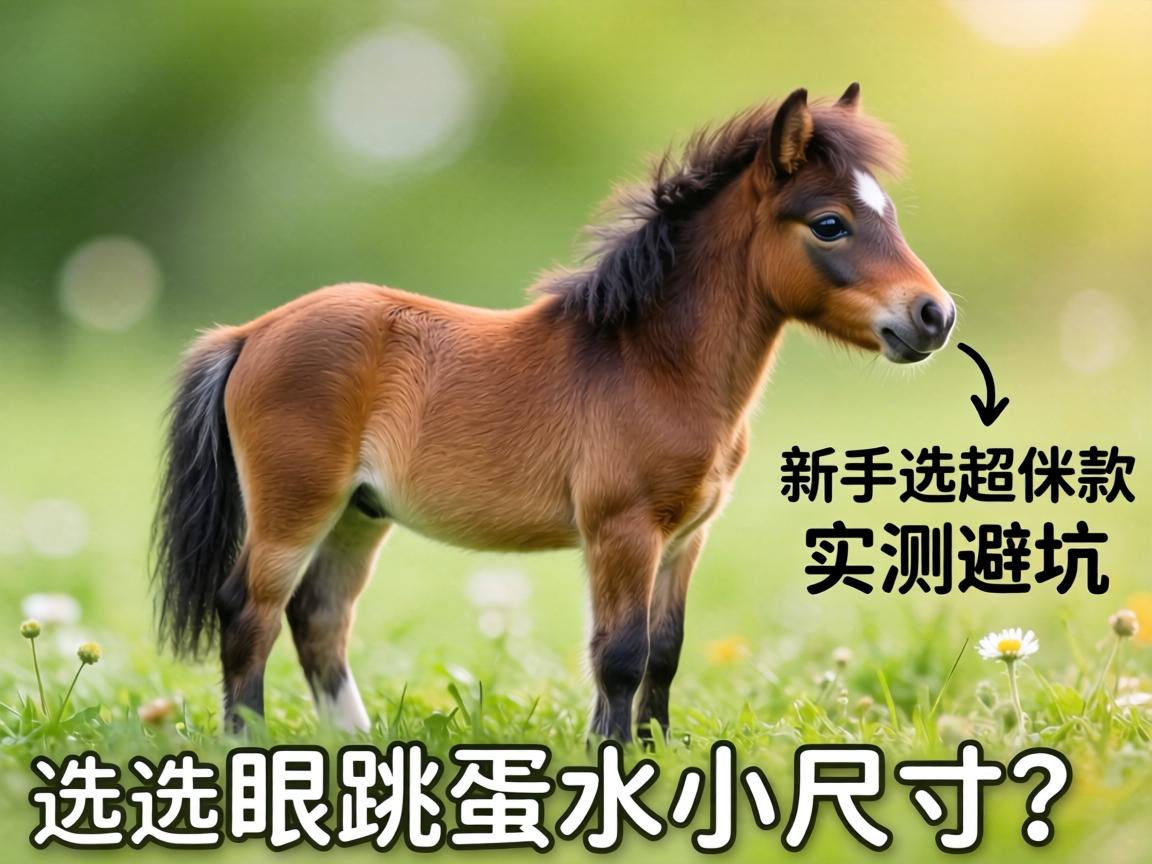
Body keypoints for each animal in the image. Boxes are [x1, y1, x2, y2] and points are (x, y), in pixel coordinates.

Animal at [154, 84, 955, 741]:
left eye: (887, 213)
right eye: (830, 224)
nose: (935, 316)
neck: (652, 364)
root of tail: (251, 333)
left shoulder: (686, 538)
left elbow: (664, 652)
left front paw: (653, 750)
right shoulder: (622, 530)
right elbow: (621, 653)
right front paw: (615, 755)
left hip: (358, 514)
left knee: (318, 619)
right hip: (296, 507)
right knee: (248, 612)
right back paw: (247, 747)